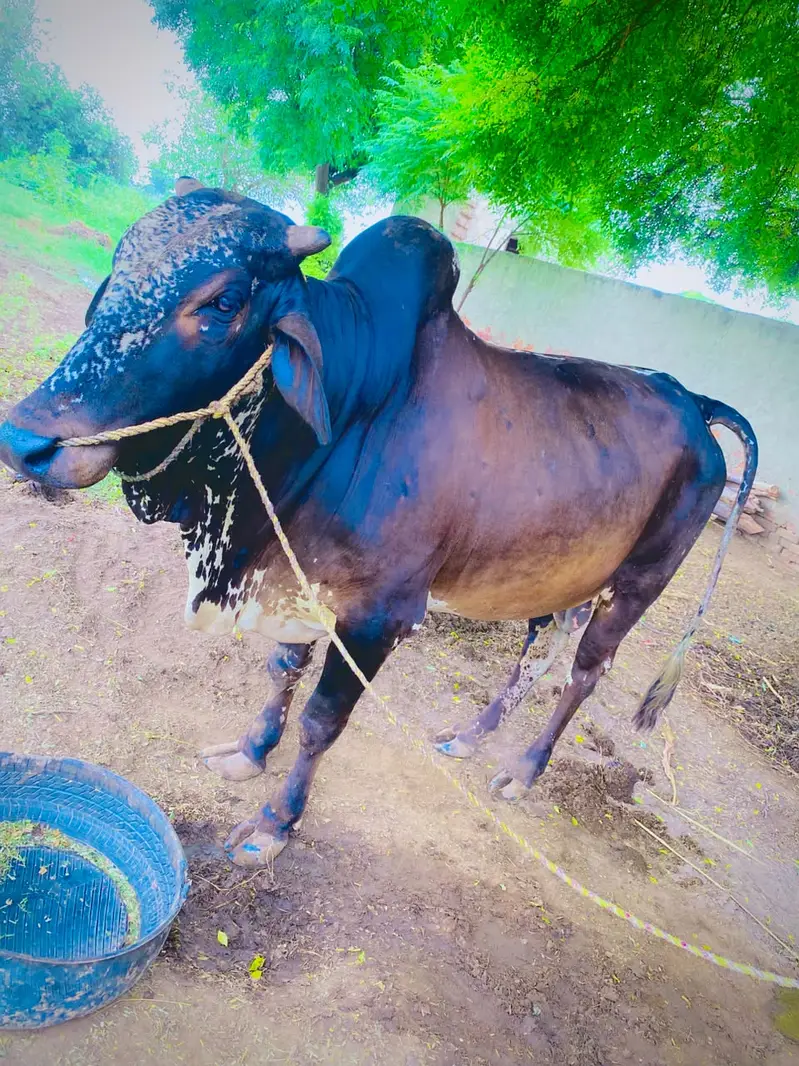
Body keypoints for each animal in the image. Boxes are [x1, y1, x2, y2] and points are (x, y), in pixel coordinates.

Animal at [0, 181, 757, 867]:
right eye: (120, 265)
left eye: (223, 301)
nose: (23, 440)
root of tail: (692, 400)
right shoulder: (301, 583)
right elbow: (281, 671)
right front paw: (249, 750)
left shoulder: (377, 618)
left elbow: (321, 721)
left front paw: (274, 823)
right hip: (556, 577)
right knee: (534, 653)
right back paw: (468, 735)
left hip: (637, 584)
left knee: (583, 673)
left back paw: (522, 770)